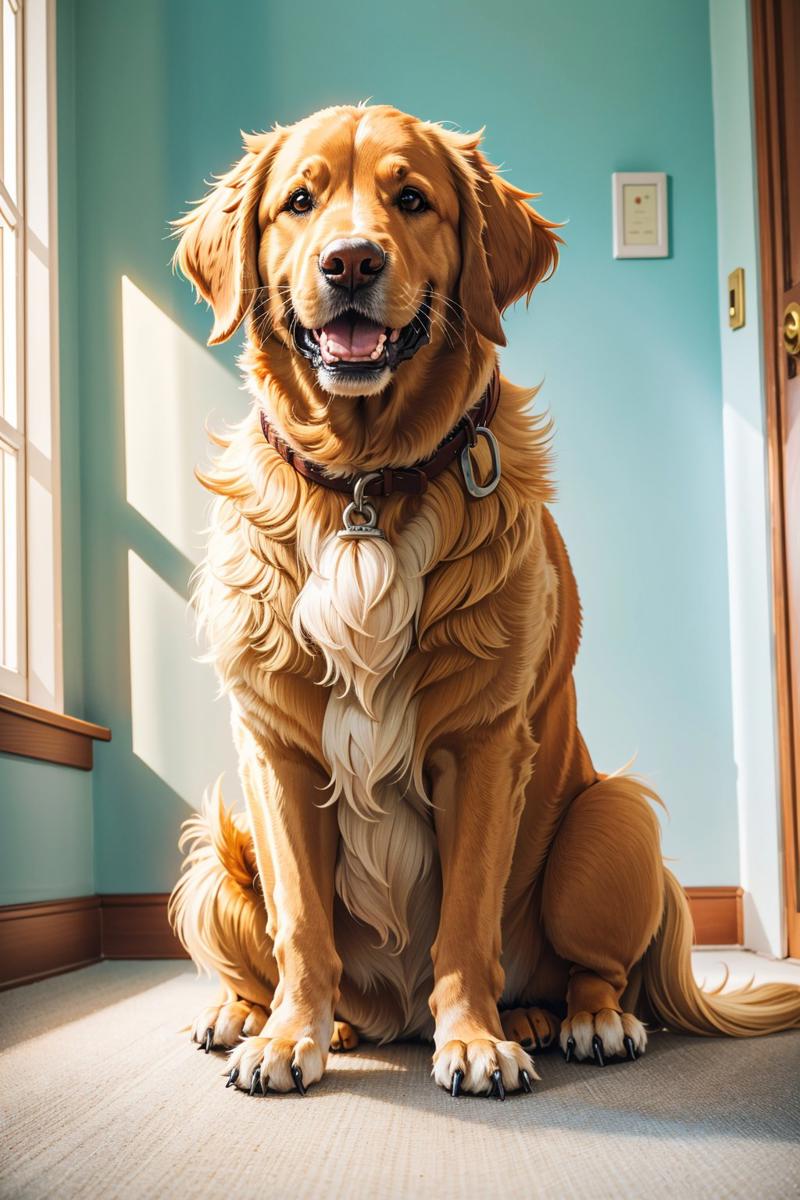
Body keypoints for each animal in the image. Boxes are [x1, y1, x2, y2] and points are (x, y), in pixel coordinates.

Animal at [169, 103, 800, 1099]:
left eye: (412, 200)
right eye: (300, 201)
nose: (351, 262)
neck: (365, 481)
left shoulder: (483, 744)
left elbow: (466, 920)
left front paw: (472, 1042)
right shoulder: (274, 751)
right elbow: (302, 925)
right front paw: (287, 1038)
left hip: (611, 818)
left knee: (595, 969)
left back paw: (578, 1021)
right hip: (217, 850)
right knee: (268, 957)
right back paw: (255, 1016)